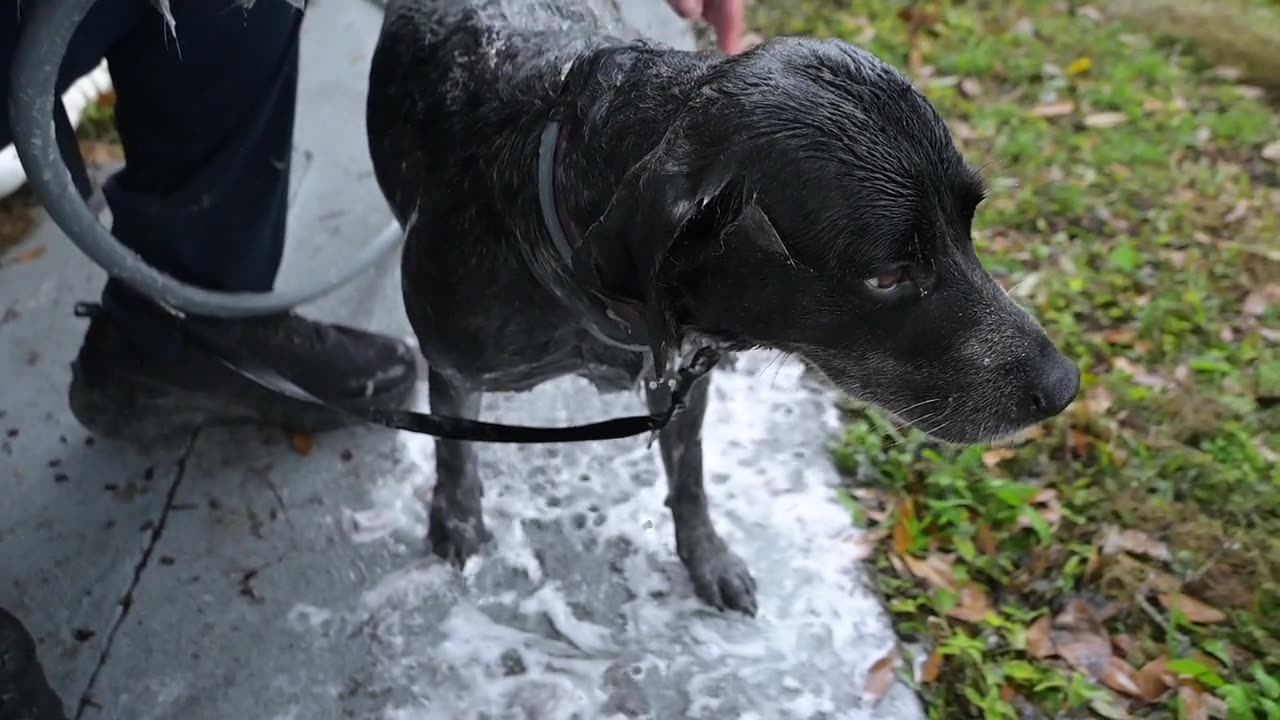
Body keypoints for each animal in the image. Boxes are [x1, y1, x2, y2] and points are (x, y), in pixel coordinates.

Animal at [366, 1, 1075, 617]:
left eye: (968, 225)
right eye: (888, 275)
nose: (1065, 386)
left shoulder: (684, 380)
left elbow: (690, 480)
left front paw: (705, 558)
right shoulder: (455, 367)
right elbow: (455, 454)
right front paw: (456, 518)